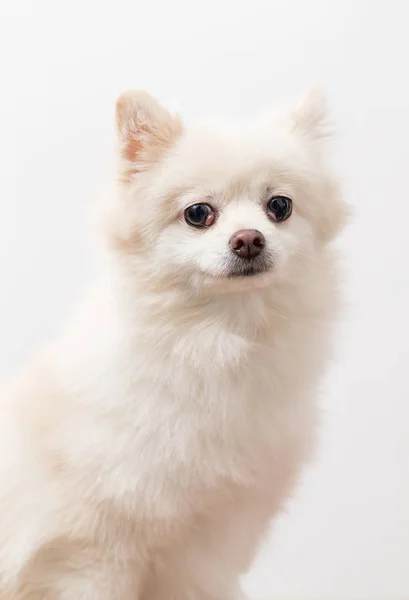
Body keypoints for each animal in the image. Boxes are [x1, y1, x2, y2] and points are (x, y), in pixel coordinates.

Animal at [0, 89, 348, 600]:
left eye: (279, 206)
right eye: (199, 214)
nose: (248, 239)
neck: (213, 343)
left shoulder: (208, 543)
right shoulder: (90, 547)